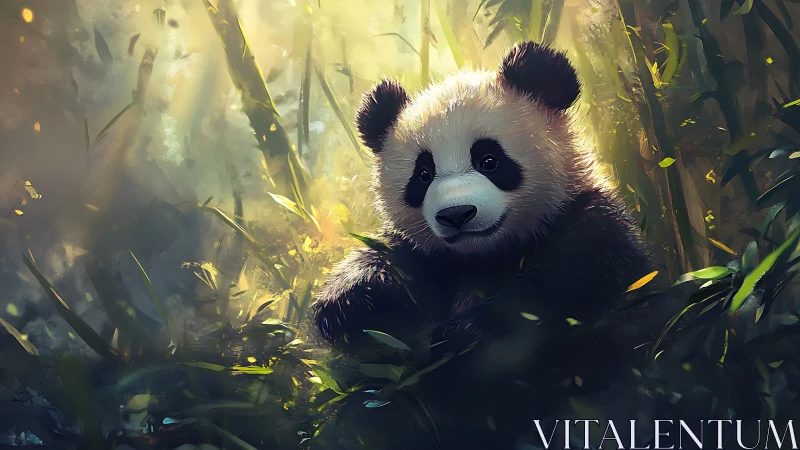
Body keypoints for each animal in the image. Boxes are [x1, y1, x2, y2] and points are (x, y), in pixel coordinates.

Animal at [310, 42, 666, 450]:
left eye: (489, 160)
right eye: (423, 174)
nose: (457, 214)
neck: (486, 256)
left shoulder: (588, 230)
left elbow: (561, 290)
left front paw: (462, 338)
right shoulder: (429, 261)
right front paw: (349, 301)